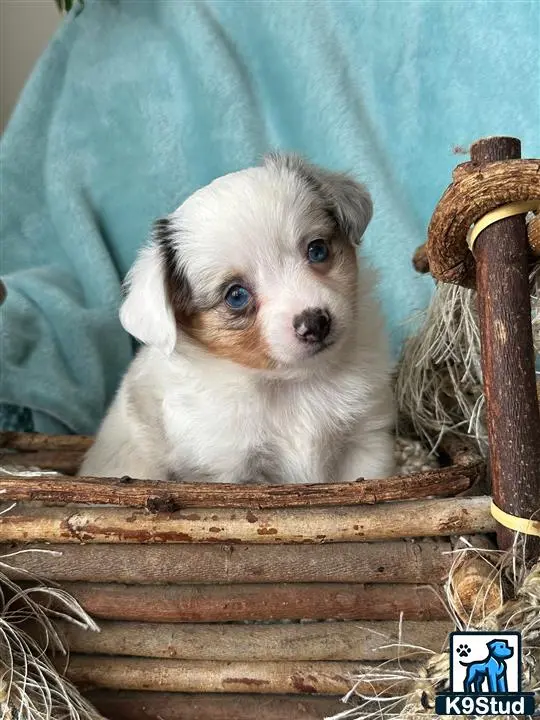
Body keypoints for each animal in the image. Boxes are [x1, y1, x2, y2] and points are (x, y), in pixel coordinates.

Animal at [82, 156, 396, 484]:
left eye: (317, 250)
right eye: (236, 296)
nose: (315, 323)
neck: (296, 384)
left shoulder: (365, 440)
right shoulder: (230, 469)